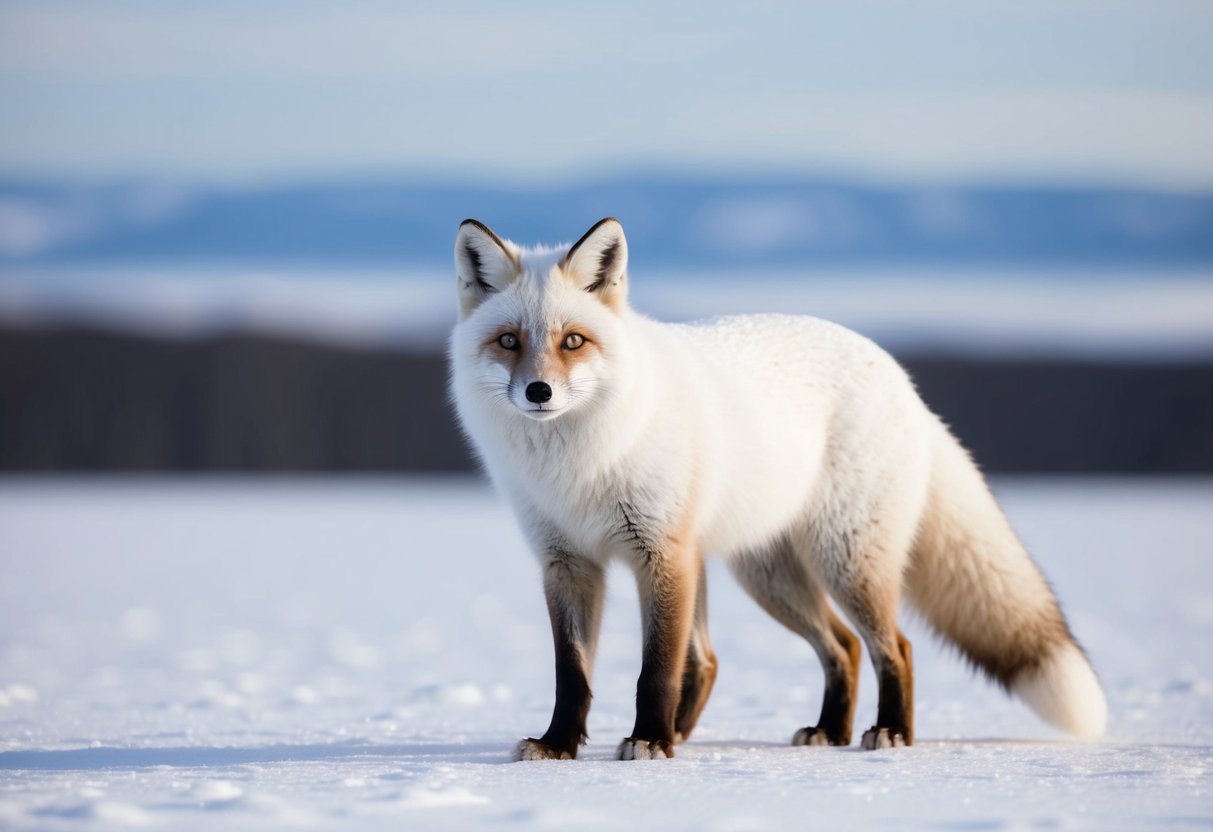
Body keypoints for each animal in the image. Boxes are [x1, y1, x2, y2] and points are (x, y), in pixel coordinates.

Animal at [448, 216, 1108, 761]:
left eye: (573, 341)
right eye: (509, 341)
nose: (538, 392)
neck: (578, 465)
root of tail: (900, 378)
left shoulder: (660, 554)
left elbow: (654, 670)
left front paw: (651, 742)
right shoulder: (568, 561)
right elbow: (573, 674)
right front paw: (560, 745)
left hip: (843, 562)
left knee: (893, 646)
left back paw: (888, 732)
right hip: (766, 575)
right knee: (821, 649)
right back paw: (825, 732)